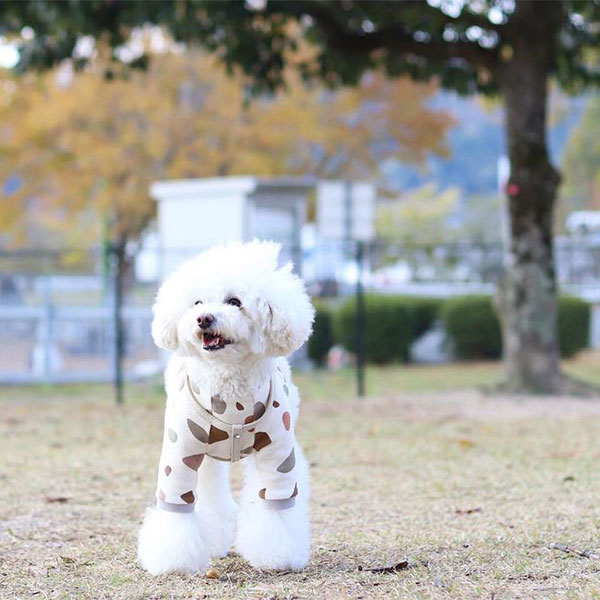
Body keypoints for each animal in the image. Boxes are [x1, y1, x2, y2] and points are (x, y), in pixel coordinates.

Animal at [137, 241, 314, 576]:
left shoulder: (277, 454)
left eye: (235, 302)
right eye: (196, 302)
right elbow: (177, 507)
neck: (232, 397)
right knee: (210, 495)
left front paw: (277, 555)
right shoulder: (180, 454)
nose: (203, 318)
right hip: (203, 455)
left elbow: (276, 506)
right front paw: (174, 560)